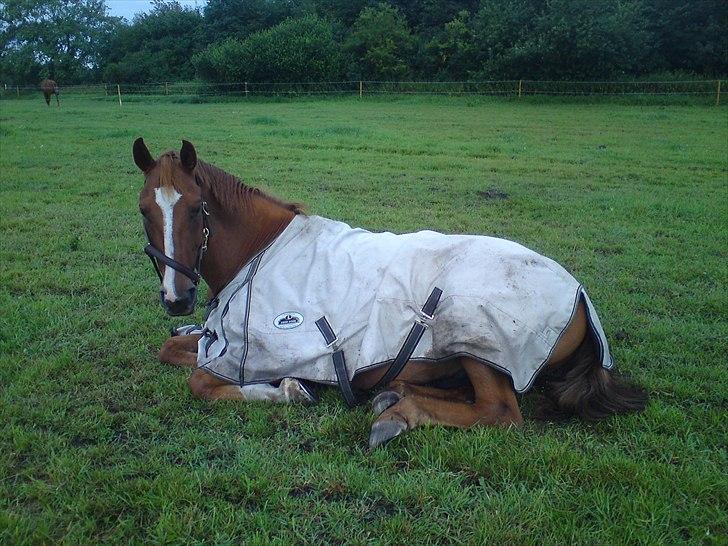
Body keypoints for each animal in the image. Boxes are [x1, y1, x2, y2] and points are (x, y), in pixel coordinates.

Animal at [134, 138, 644, 448]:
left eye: (196, 207)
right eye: (143, 210)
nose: (177, 298)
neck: (262, 251)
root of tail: (579, 295)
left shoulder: (249, 354)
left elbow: (201, 383)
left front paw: (289, 391)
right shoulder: (212, 342)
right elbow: (170, 348)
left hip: (476, 337)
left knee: (498, 411)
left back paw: (395, 414)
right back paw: (393, 392)